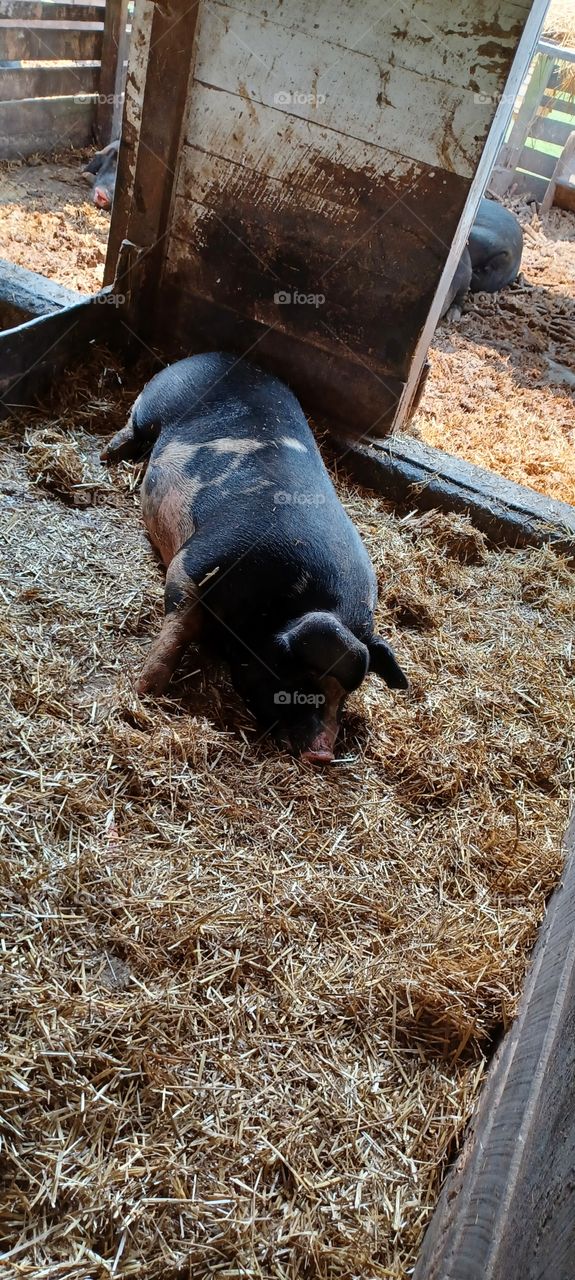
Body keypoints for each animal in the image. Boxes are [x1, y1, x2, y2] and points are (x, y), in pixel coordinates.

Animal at [101, 353, 408, 762]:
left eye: (345, 697)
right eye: (303, 678)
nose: (322, 754)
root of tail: (212, 357)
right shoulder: (196, 562)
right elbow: (179, 628)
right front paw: (143, 692)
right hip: (157, 404)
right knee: (135, 423)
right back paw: (107, 454)